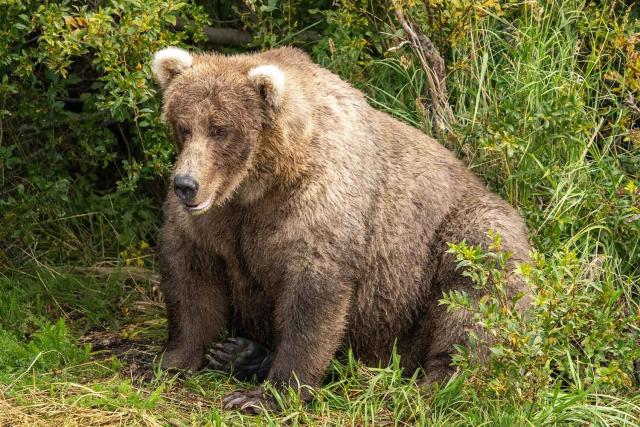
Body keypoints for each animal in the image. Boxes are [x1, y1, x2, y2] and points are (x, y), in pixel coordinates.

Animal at [150, 46, 528, 414]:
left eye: (221, 129)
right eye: (184, 126)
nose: (186, 184)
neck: (260, 184)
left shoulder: (319, 207)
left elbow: (313, 299)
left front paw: (265, 395)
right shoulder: (216, 222)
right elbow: (191, 279)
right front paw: (170, 362)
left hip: (459, 241)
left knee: (474, 301)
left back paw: (435, 386)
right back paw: (241, 354)